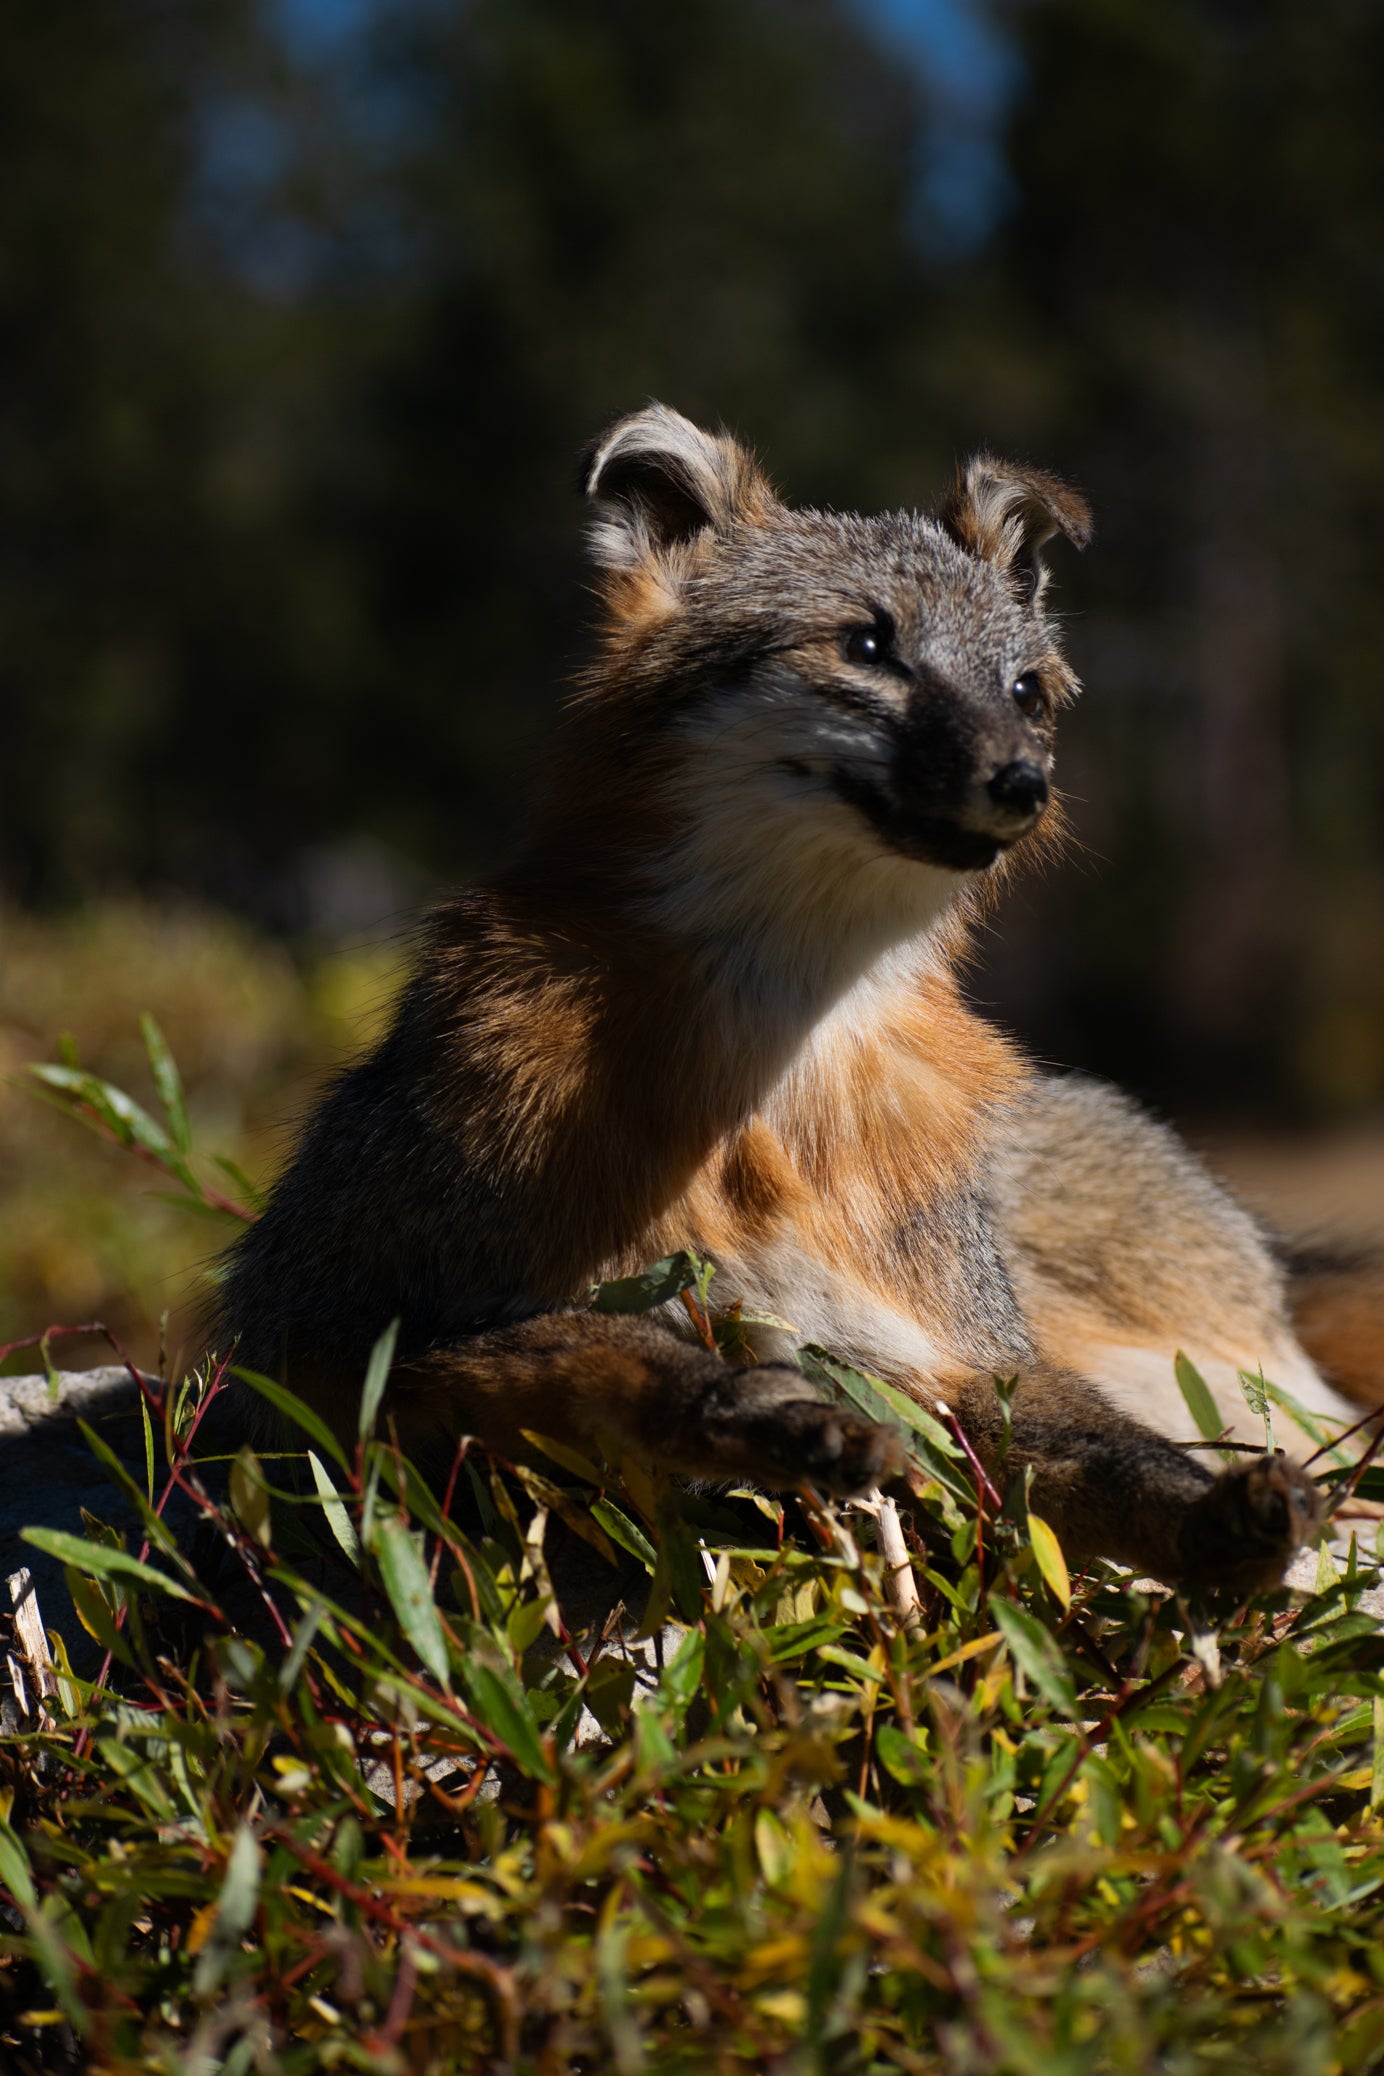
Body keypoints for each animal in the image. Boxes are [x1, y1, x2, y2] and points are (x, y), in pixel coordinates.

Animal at [221, 403, 1383, 1598]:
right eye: (867, 647)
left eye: (1025, 691)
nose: (1025, 781)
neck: (772, 1088)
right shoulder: (339, 1347)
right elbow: (616, 1360)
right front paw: (773, 1418)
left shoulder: (967, 1359)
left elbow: (1119, 1463)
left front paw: (1212, 1520)